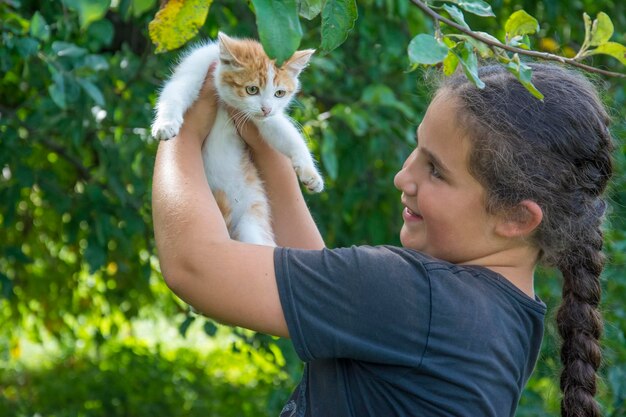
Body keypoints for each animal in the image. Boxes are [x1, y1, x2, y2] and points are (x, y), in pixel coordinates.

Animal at [152, 33, 322, 247]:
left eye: (279, 93)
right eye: (252, 89)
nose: (266, 109)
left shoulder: (265, 119)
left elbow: (286, 135)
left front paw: (310, 174)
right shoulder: (195, 67)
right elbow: (175, 93)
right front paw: (165, 124)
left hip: (252, 219)